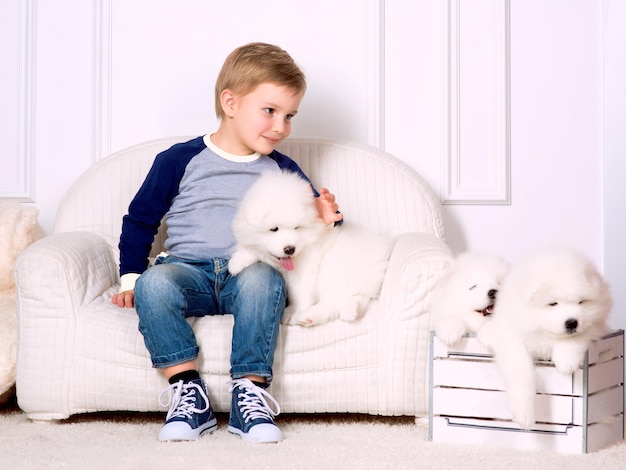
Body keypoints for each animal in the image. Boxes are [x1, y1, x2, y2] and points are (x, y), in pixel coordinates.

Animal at [227, 170, 390, 326]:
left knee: (333, 301)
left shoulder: (304, 271)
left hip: (333, 271)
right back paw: (350, 310)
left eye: (296, 228)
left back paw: (308, 316)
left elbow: (300, 293)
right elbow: (250, 248)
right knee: (356, 299)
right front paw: (236, 263)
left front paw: (295, 311)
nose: (290, 249)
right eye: (274, 229)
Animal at [478, 246, 608, 430]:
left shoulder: (597, 326)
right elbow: (522, 371)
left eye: (581, 302)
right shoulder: (511, 341)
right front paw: (524, 414)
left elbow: (579, 336)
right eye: (553, 304)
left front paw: (566, 362)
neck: (541, 332)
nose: (572, 322)